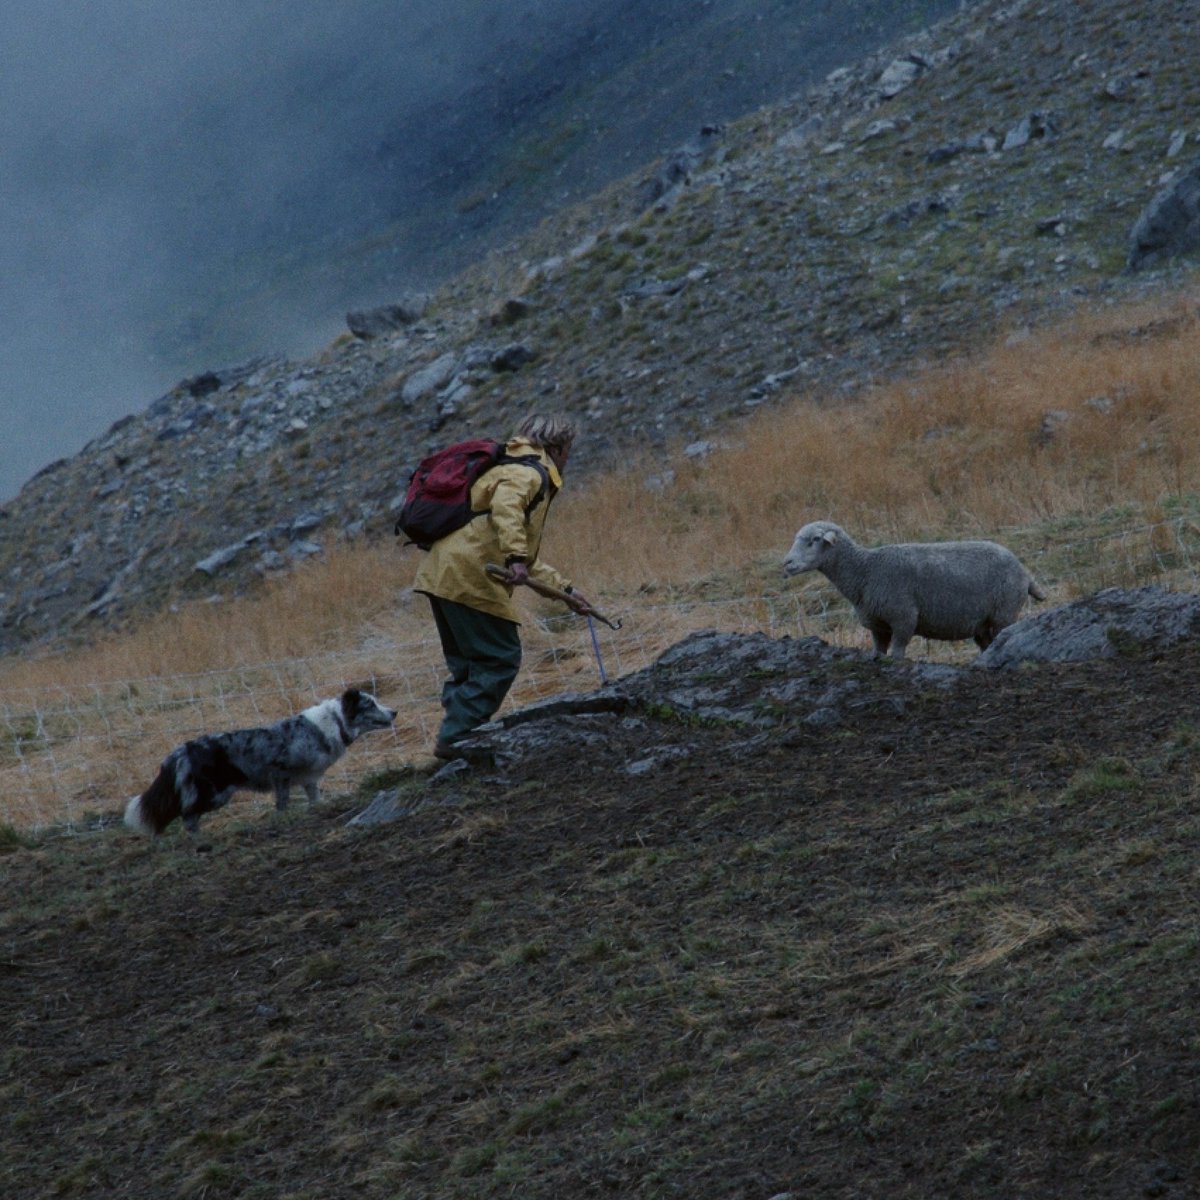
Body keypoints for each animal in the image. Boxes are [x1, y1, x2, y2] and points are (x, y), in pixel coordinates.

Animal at [782, 520, 1046, 662]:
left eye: (815, 540)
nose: (786, 563)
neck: (864, 571)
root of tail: (1024, 571)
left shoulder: (903, 618)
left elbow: (898, 652)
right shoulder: (877, 624)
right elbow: (878, 649)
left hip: (1004, 612)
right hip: (982, 623)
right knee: (986, 643)